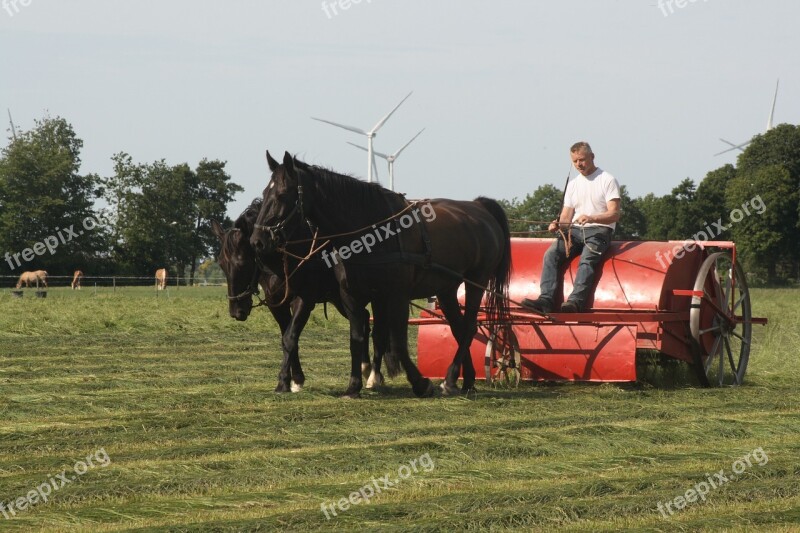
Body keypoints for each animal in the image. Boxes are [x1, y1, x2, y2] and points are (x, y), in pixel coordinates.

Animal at [212, 197, 388, 392]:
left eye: (242, 263)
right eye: (221, 264)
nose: (236, 311)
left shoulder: (304, 301)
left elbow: (290, 337)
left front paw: (283, 382)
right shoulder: (277, 303)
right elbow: (286, 337)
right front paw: (296, 379)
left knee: (378, 330)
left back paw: (374, 376)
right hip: (341, 299)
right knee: (363, 319)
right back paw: (365, 368)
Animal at [252, 150, 512, 394]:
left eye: (282, 195)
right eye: (264, 194)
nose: (258, 241)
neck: (370, 230)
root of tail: (479, 206)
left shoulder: (396, 295)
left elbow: (396, 343)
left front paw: (420, 383)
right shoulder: (352, 295)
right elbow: (357, 338)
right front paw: (353, 386)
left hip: (476, 280)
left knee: (468, 327)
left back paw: (449, 380)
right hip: (447, 289)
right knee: (458, 328)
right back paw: (465, 380)